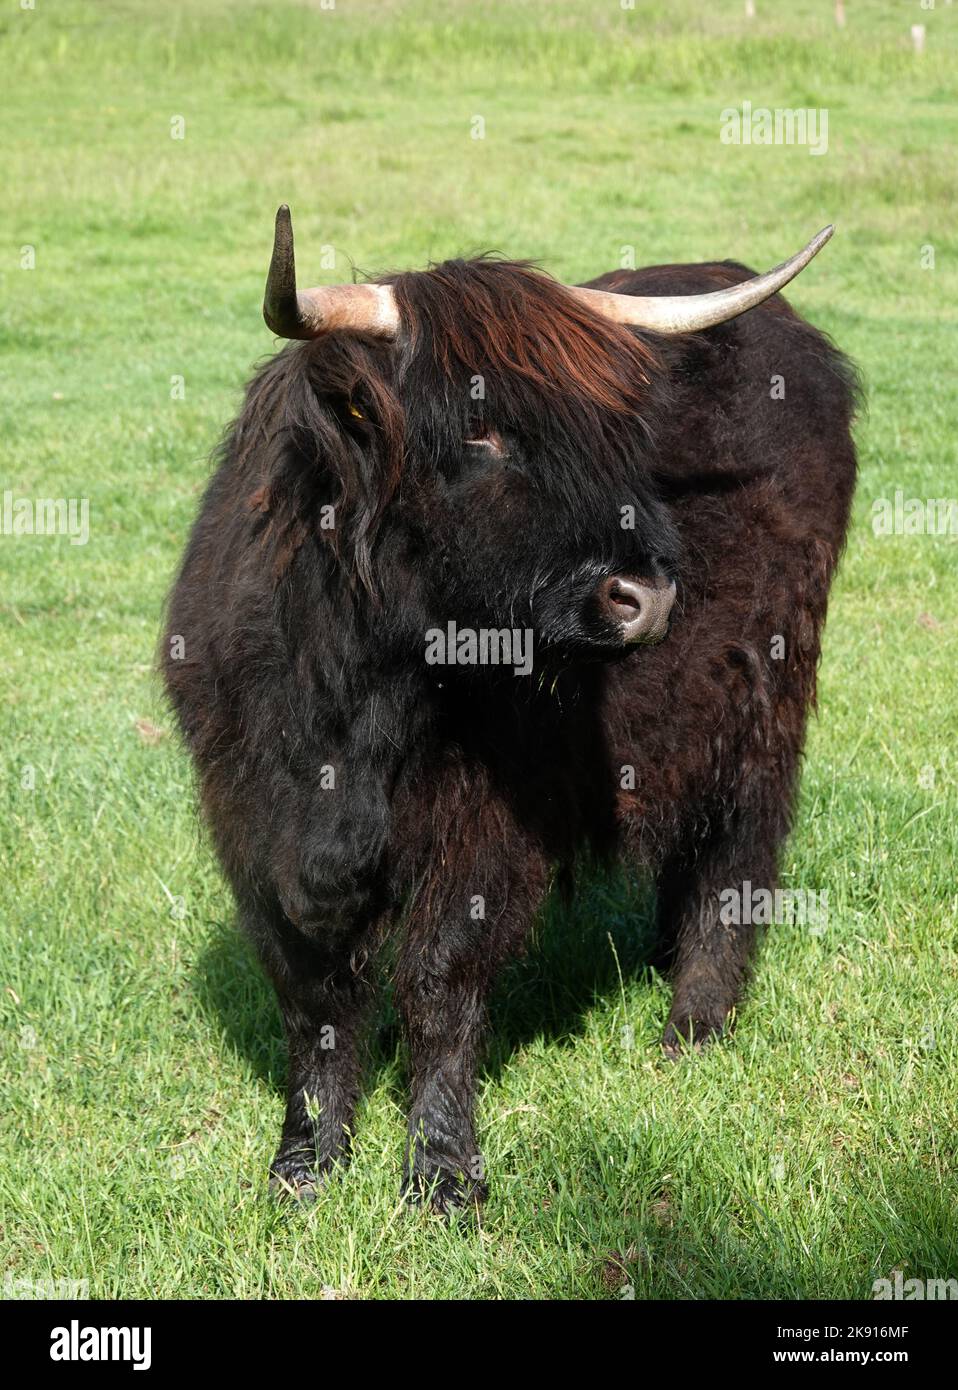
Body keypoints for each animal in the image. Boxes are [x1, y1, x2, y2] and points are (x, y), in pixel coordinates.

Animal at [162, 207, 858, 1211]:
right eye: (479, 432)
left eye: (612, 435)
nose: (645, 594)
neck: (361, 693)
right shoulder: (251, 818)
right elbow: (311, 994)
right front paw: (305, 1163)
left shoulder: (494, 820)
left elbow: (440, 978)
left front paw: (442, 1175)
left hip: (765, 693)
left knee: (738, 848)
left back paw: (693, 1026)